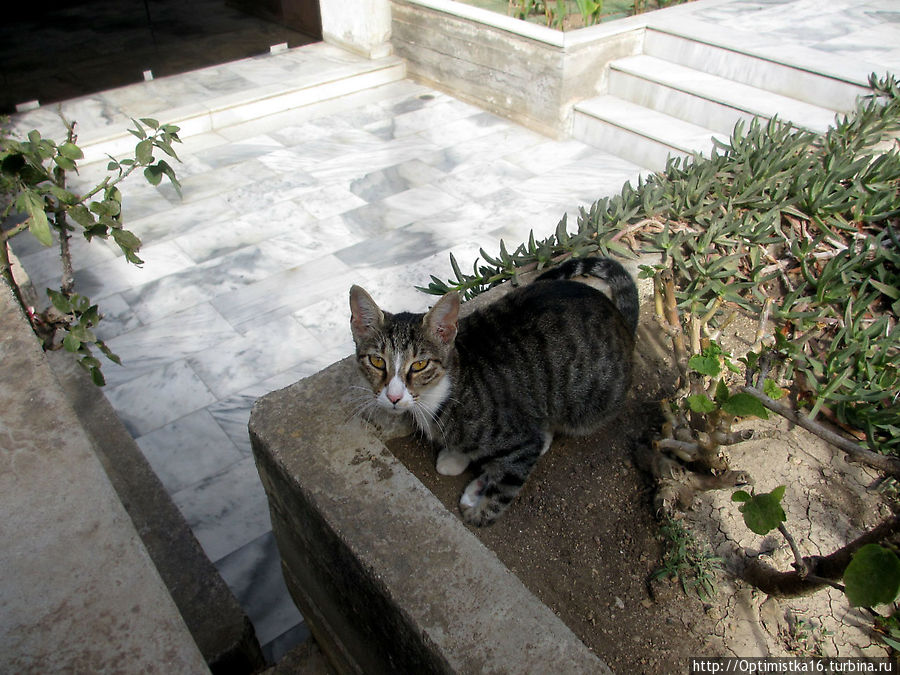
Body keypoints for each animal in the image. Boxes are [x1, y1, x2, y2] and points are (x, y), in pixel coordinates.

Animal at [352, 258, 640, 528]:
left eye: (420, 365)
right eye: (377, 361)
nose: (393, 397)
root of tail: (623, 324)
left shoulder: (521, 440)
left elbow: (505, 485)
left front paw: (479, 512)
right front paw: (456, 457)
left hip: (583, 403)